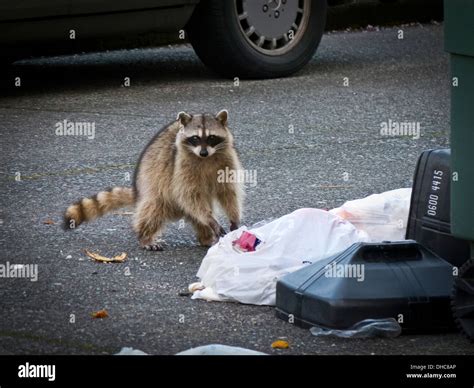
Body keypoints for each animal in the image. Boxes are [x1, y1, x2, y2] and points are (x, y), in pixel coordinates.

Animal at [64, 109, 244, 250]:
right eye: (195, 138)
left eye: (212, 137)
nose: (204, 153)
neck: (206, 158)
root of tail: (138, 191)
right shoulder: (180, 165)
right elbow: (188, 194)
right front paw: (211, 220)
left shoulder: (226, 160)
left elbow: (228, 191)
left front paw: (233, 217)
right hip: (154, 186)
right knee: (155, 208)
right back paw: (145, 236)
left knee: (197, 213)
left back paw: (205, 237)